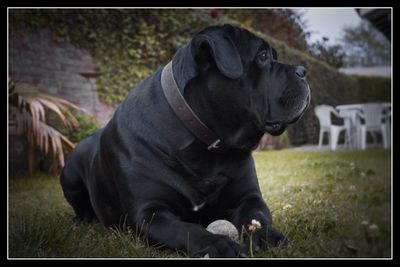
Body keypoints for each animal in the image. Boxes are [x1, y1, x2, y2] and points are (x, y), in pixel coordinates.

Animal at [60, 24, 310, 258]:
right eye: (262, 56)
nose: (303, 70)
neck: (208, 147)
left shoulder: (248, 197)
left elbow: (256, 217)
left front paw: (268, 236)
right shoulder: (150, 213)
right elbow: (187, 230)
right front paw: (219, 244)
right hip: (70, 174)